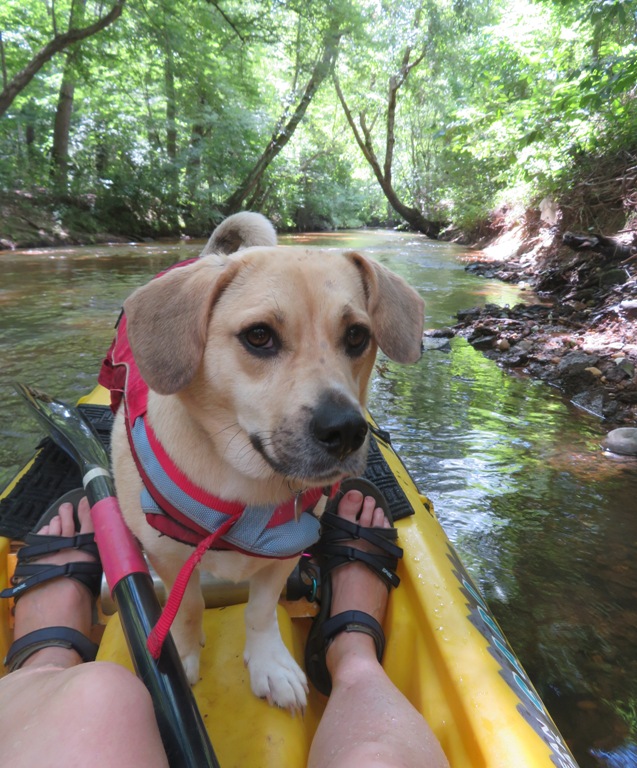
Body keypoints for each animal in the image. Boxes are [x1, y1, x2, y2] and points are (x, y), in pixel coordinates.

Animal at [111, 212, 424, 712]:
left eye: (357, 335)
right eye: (259, 335)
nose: (345, 431)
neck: (245, 485)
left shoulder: (285, 552)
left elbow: (260, 611)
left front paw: (268, 664)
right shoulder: (167, 556)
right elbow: (189, 606)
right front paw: (184, 653)